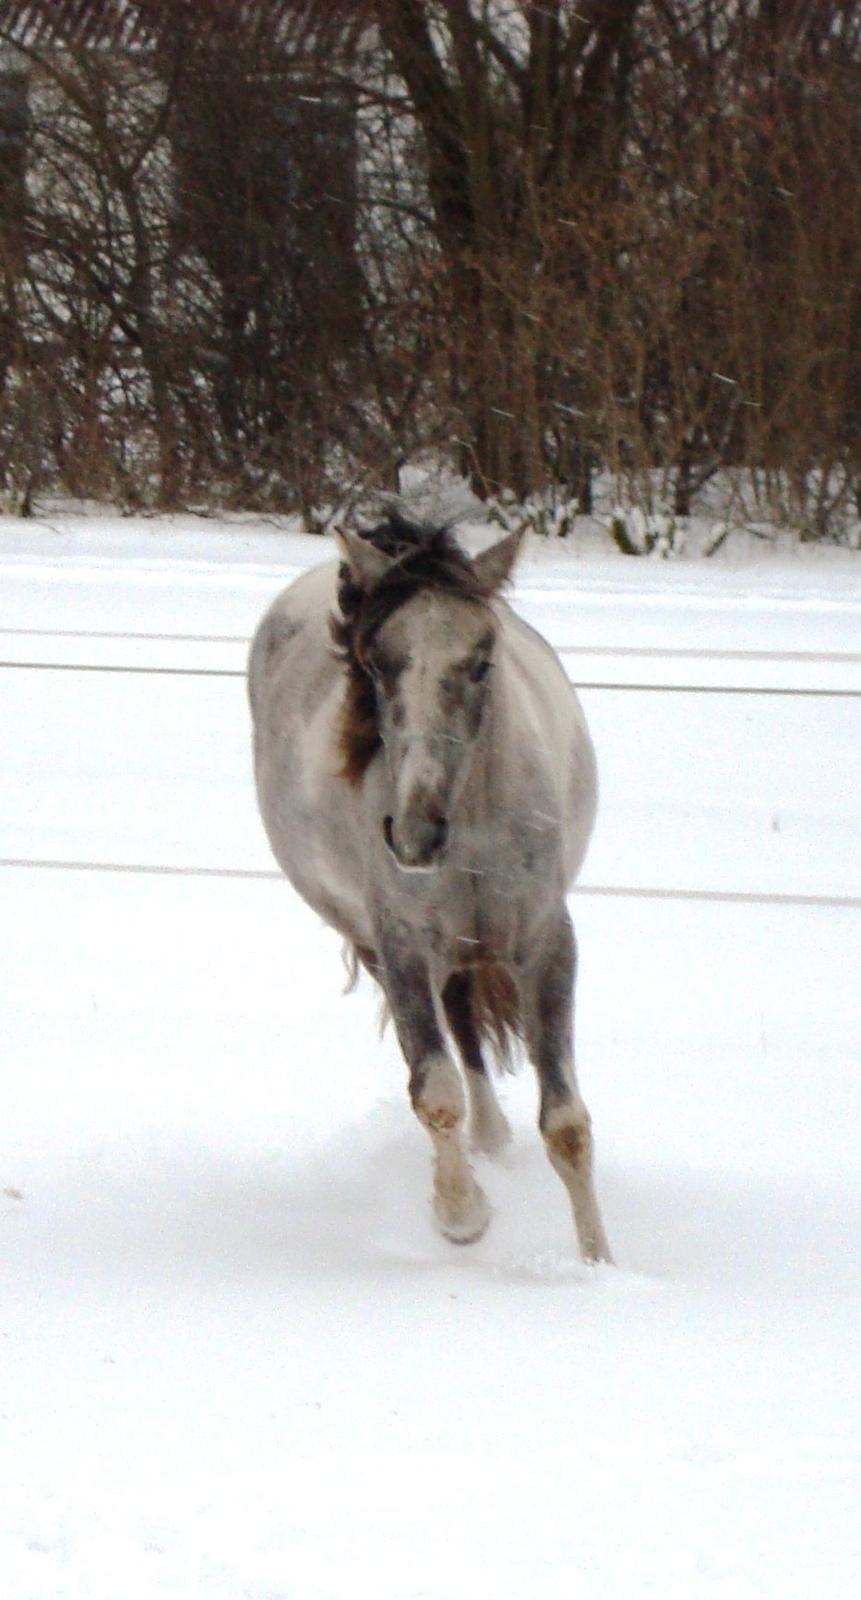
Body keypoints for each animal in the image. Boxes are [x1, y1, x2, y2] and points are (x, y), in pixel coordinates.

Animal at [246, 512, 611, 1260]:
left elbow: (565, 1122)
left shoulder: (547, 942)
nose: (413, 835)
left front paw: (600, 1262)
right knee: (456, 1040)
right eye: (376, 664)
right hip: (384, 944)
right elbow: (434, 1089)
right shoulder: (404, 944)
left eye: (480, 661)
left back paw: (493, 1141)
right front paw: (461, 1215)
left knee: (468, 1025)